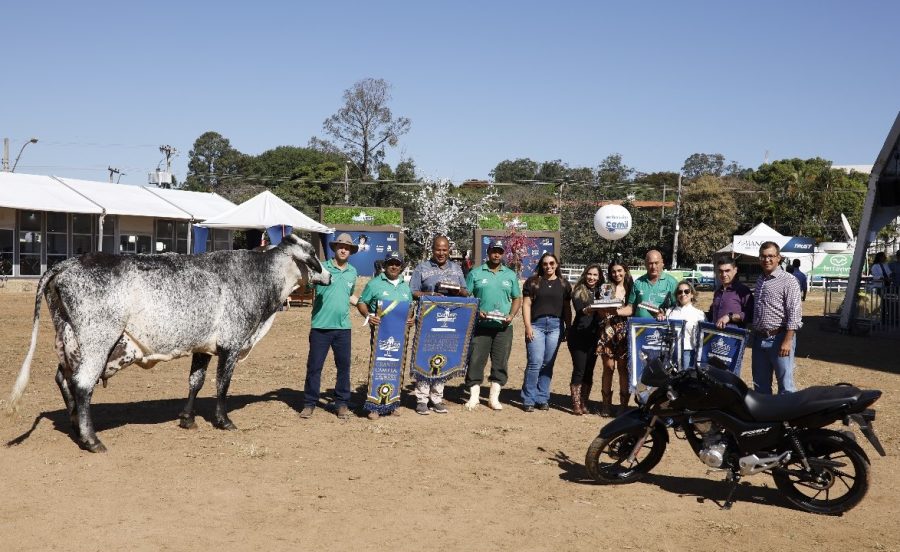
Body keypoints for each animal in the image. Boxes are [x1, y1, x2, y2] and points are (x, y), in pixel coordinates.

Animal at [7, 233, 330, 452]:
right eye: (313, 253)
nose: (328, 274)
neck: (258, 276)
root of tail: (68, 264)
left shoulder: (203, 347)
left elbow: (196, 382)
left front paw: (187, 419)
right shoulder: (231, 344)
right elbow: (221, 386)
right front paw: (224, 421)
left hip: (69, 340)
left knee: (63, 379)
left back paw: (76, 426)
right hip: (98, 341)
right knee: (82, 384)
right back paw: (91, 439)